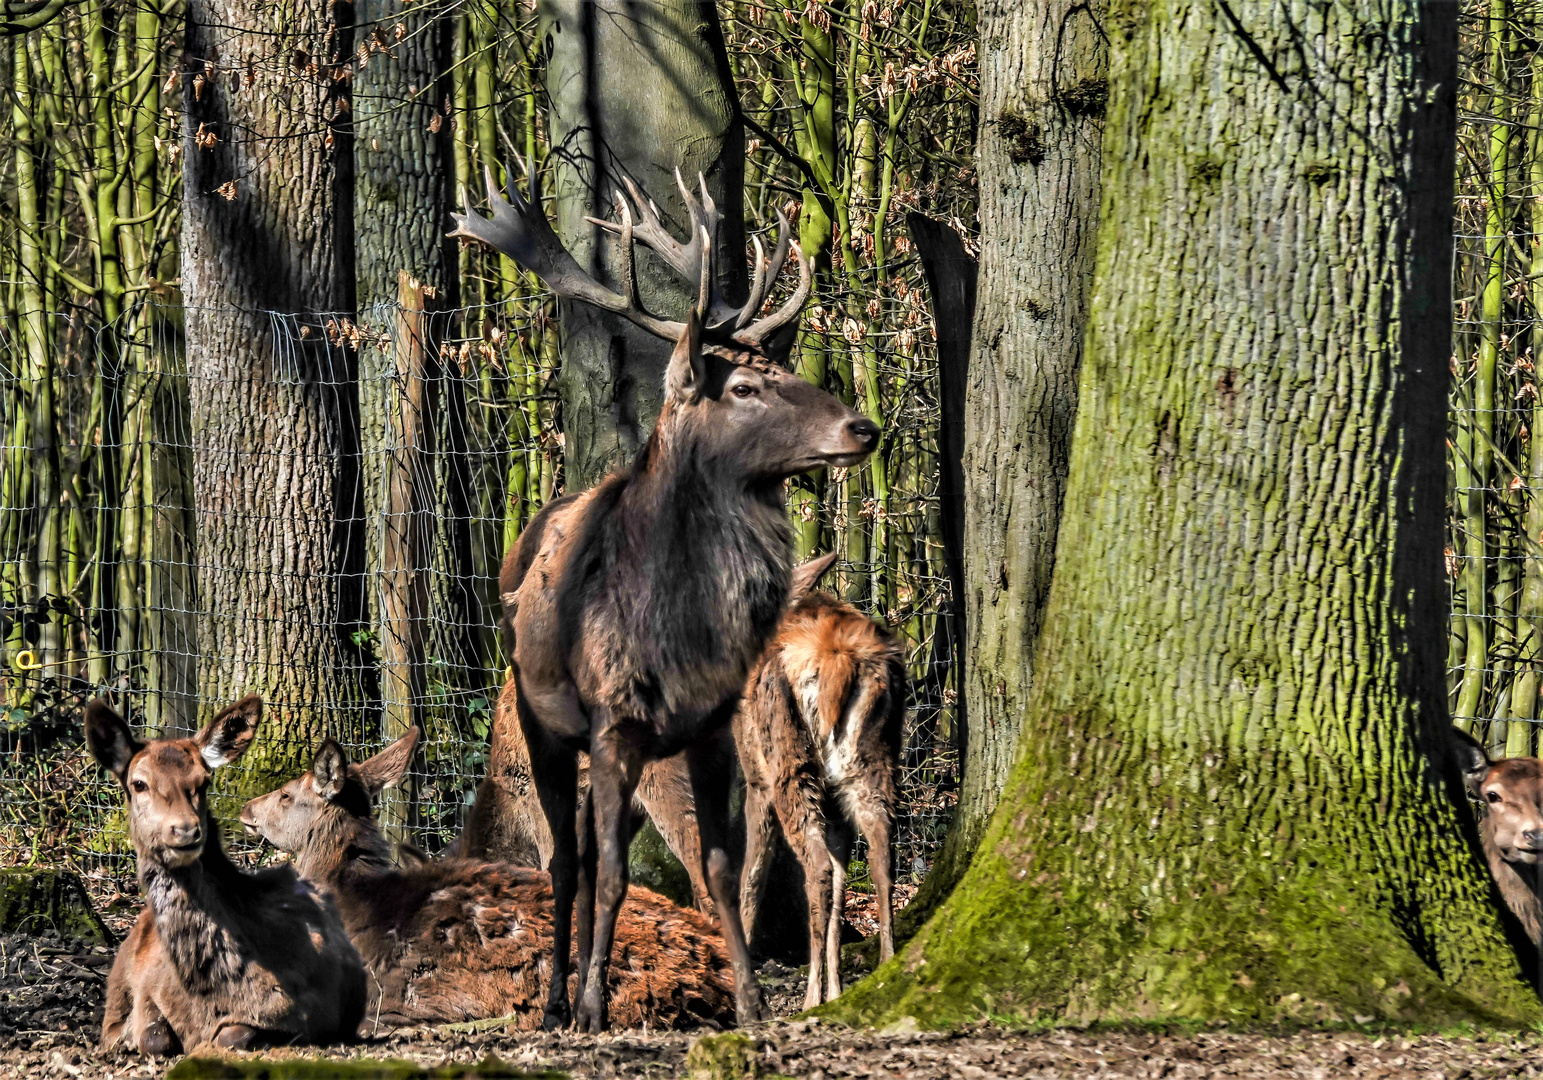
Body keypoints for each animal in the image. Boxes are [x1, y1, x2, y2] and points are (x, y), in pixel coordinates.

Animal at [89, 691, 364, 1055]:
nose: (185, 830)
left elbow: (233, 1034)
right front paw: (132, 1037)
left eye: (203, 781)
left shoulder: (316, 1013)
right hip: (120, 973)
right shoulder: (147, 988)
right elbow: (152, 1036)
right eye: (138, 783)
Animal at [450, 166, 876, 1030]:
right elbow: (614, 872)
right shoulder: (616, 722)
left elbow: (718, 868)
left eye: (784, 370)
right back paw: (560, 998)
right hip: (549, 726)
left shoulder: (708, 733)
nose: (862, 427)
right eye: (742, 385)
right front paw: (591, 1005)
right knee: (568, 864)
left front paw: (751, 1000)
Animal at [731, 552, 901, 1005]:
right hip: (870, 763)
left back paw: (809, 999)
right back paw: (885, 968)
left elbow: (751, 875)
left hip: (790, 764)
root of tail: (838, 659)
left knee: (818, 867)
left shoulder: (756, 780)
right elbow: (843, 887)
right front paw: (836, 988)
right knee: (881, 855)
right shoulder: (834, 802)